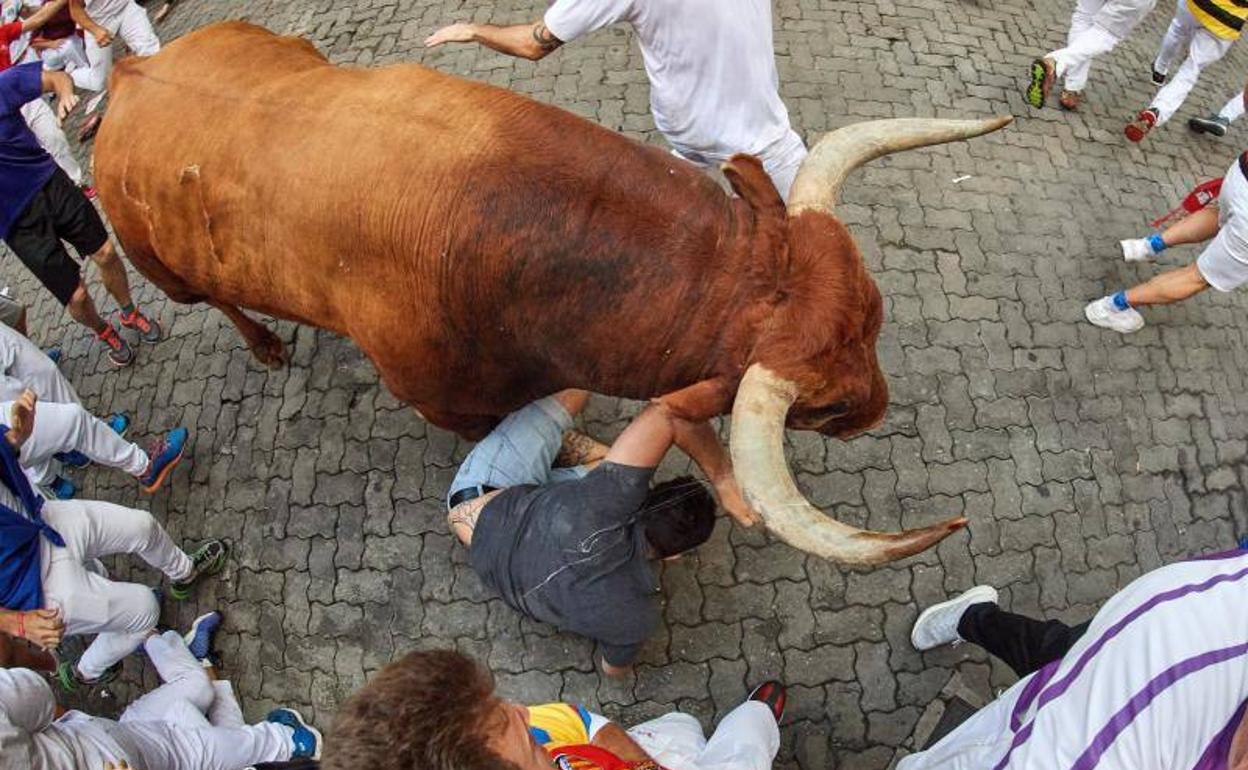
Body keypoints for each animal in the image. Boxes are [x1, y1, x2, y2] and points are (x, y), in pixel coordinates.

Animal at [97, 22, 1013, 564]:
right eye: (823, 407)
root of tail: (138, 67)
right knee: (217, 302)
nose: (878, 409)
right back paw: (265, 343)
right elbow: (536, 431)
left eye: (879, 318)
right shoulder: (442, 400)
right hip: (164, 272)